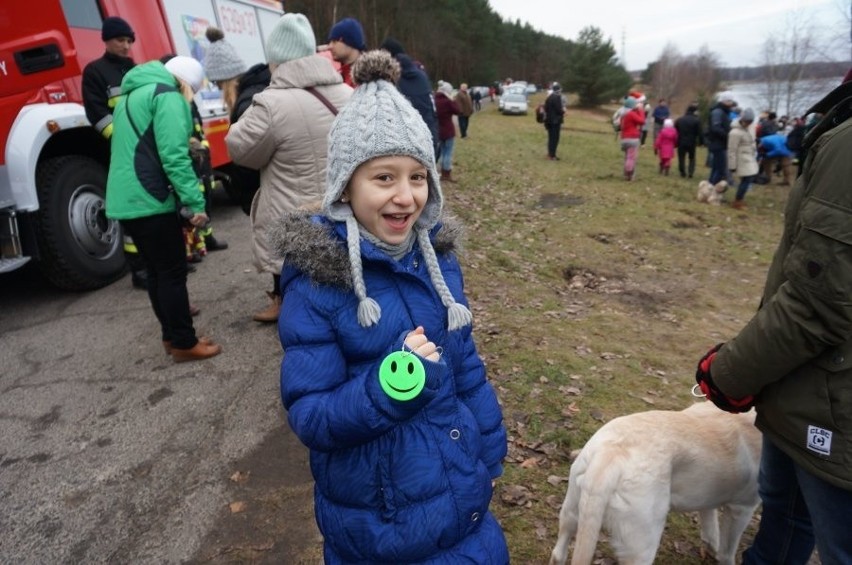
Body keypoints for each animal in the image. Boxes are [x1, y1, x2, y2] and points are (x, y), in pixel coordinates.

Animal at [548, 400, 764, 564]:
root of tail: (612, 454)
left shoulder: (708, 497)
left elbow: (710, 523)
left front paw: (711, 545)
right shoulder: (742, 508)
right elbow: (727, 550)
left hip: (572, 511)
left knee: (559, 552)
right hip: (642, 545)